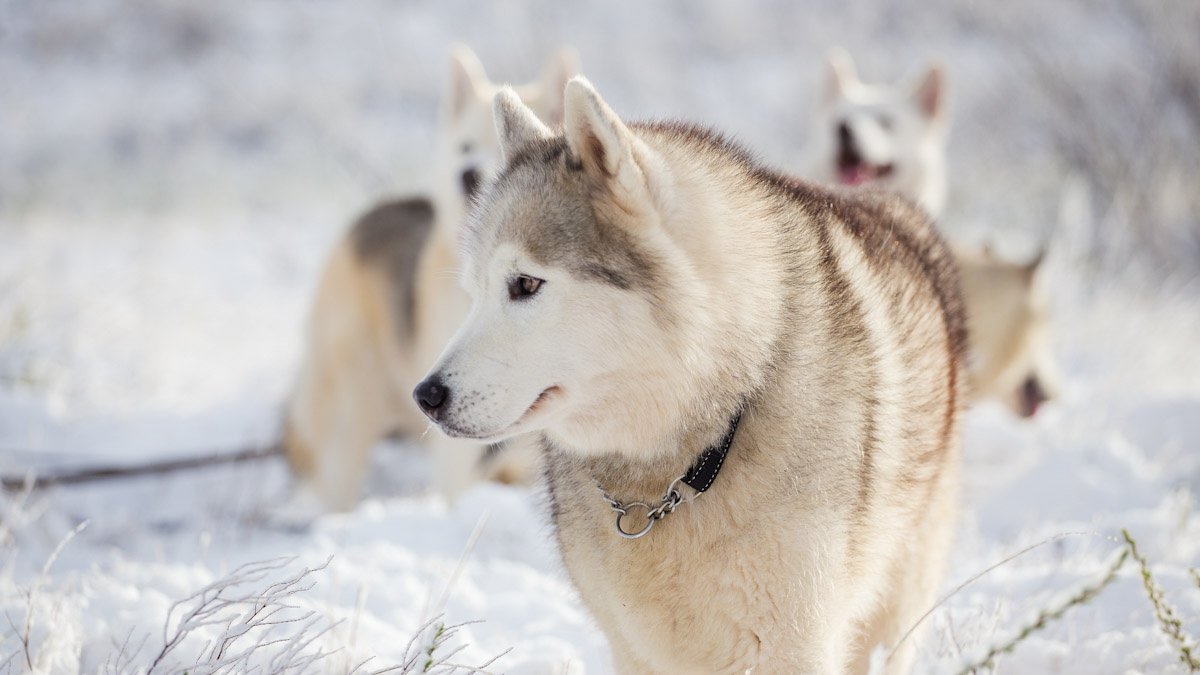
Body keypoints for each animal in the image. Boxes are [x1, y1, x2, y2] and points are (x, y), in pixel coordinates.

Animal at [417, 76, 969, 667]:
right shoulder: (634, 652)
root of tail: (900, 208)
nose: (425, 396)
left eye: (524, 284)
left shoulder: (795, 646)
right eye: (474, 293)